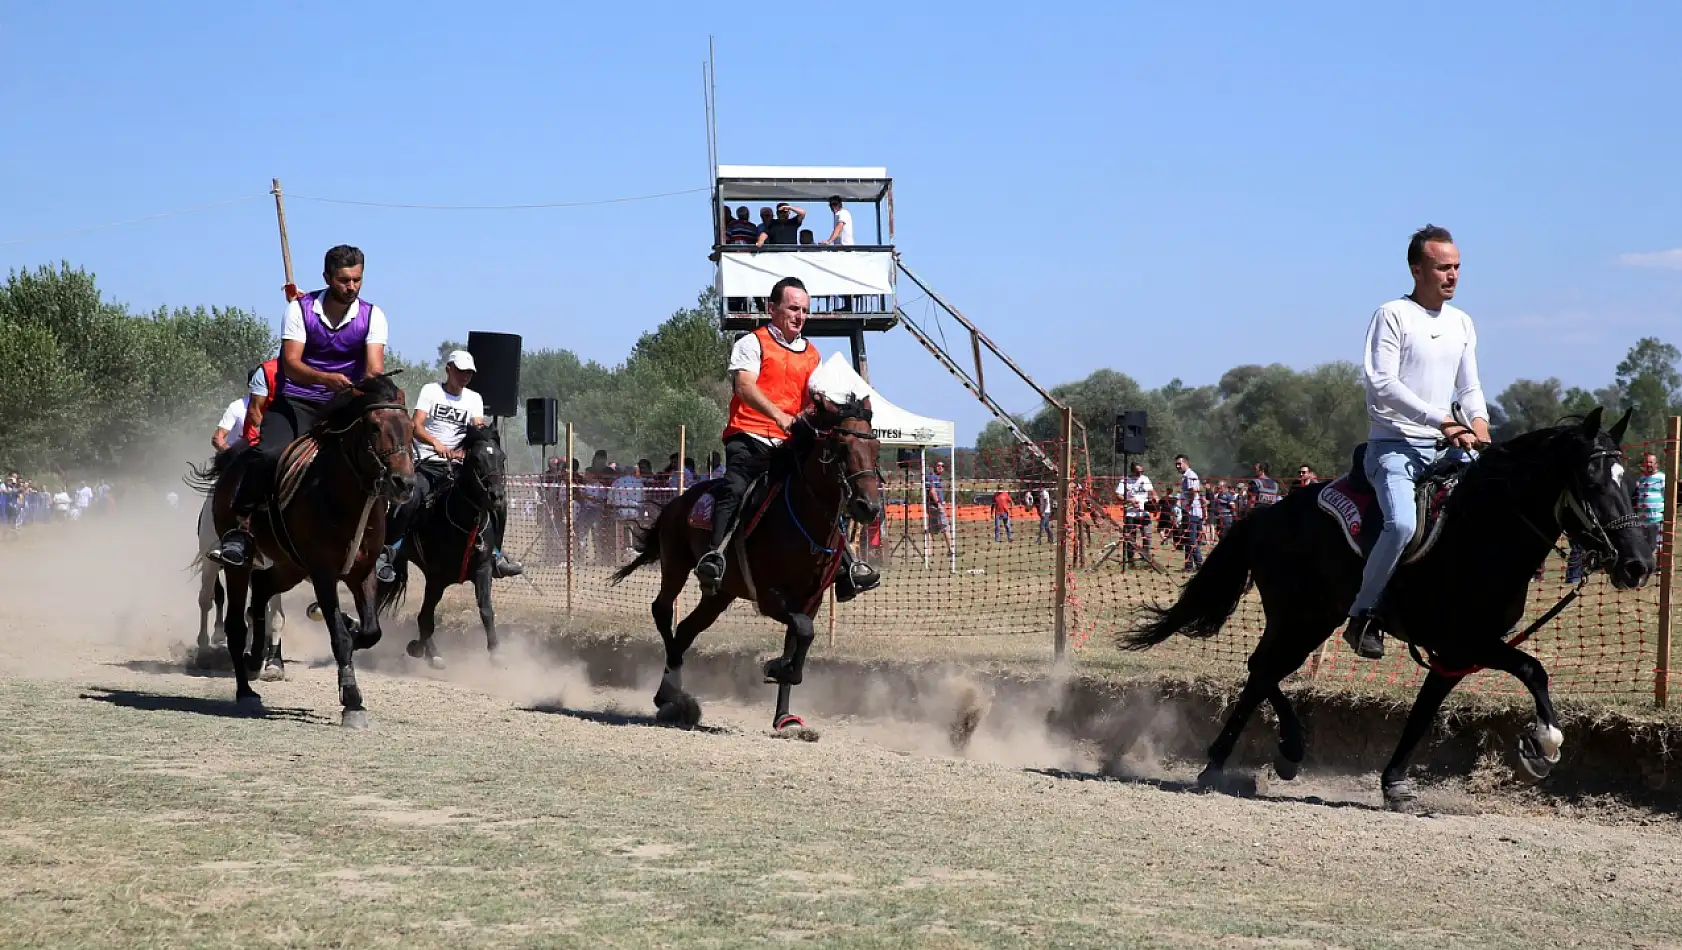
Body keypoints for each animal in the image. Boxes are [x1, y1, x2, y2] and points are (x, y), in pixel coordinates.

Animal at [190, 376, 410, 726]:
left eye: (411, 428)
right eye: (374, 427)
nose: (405, 483)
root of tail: (233, 463)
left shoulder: (363, 573)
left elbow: (370, 632)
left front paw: (350, 626)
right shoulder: (323, 573)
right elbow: (339, 637)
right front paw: (352, 699)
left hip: (289, 567)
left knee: (261, 592)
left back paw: (256, 660)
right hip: (234, 562)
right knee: (230, 617)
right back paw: (242, 686)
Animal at [378, 422, 507, 665]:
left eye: (501, 457)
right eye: (476, 458)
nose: (497, 496)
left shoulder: (483, 569)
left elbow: (486, 609)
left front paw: (496, 652)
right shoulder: (436, 578)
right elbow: (426, 618)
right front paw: (421, 649)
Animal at [1123, 406, 1648, 807]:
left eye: (1629, 483)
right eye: (1591, 481)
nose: (1637, 564)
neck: (1481, 531)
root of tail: (1265, 513)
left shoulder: (1454, 656)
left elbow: (1423, 715)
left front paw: (1394, 782)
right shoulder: (1466, 642)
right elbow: (1533, 669)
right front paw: (1542, 745)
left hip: (1315, 617)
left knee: (1261, 673)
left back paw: (1241, 759)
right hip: (1300, 617)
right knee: (1263, 669)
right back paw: (1271, 752)